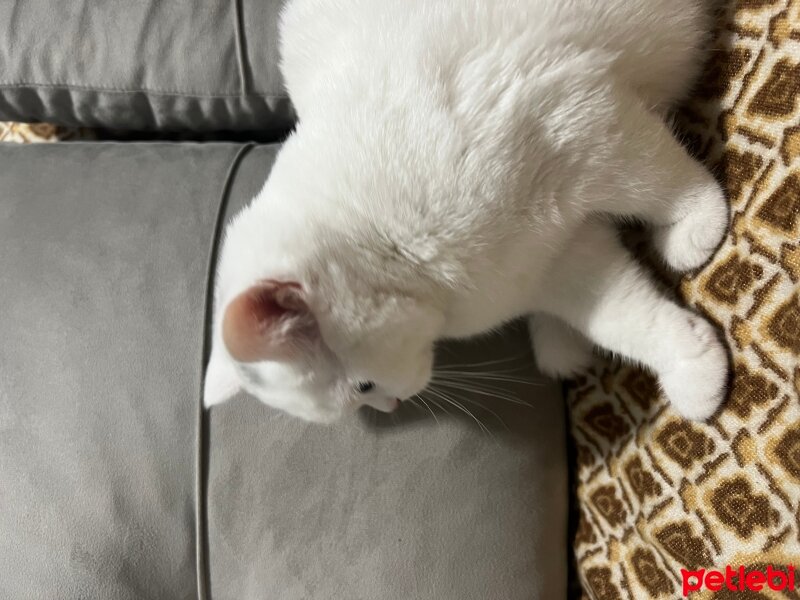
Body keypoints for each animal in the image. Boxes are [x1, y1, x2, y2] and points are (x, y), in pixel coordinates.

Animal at [205, 0, 732, 422]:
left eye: (363, 386)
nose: (390, 406)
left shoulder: (582, 124)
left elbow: (659, 181)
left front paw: (697, 222)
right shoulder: (550, 264)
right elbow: (626, 321)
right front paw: (693, 367)